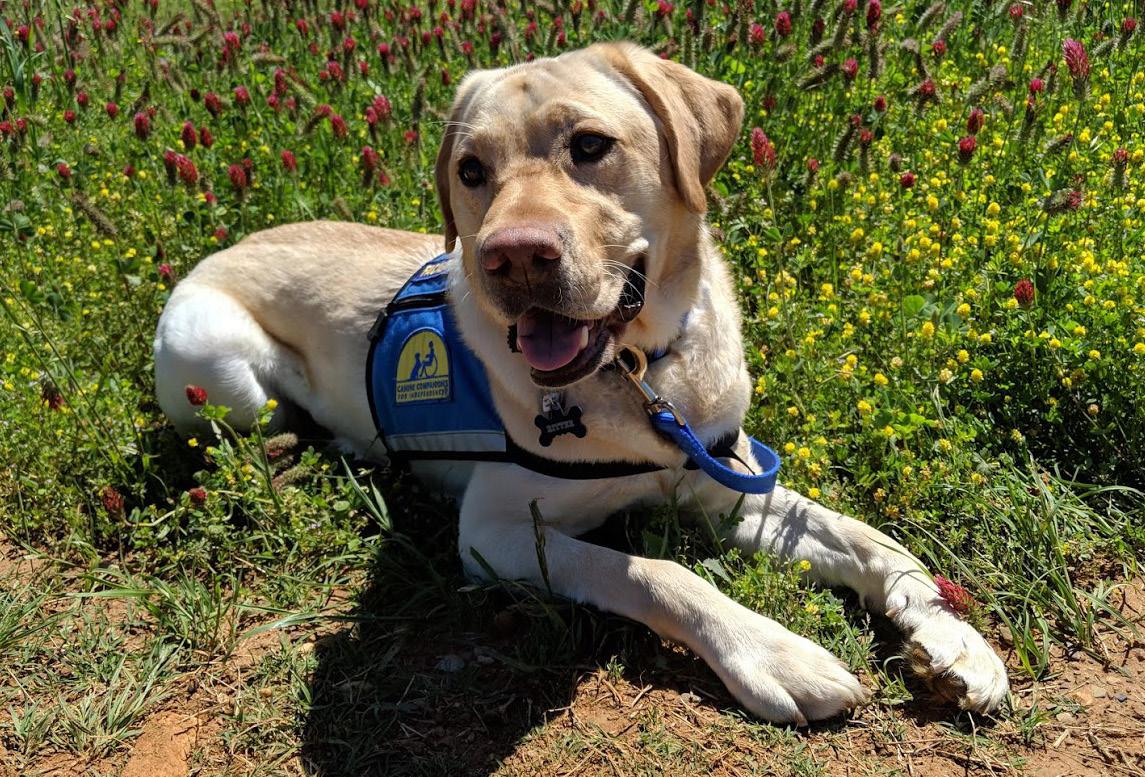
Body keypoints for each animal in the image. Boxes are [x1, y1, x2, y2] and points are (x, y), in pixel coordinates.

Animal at [154, 42, 1009, 724]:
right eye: (471, 171)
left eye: (591, 144)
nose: (511, 256)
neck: (639, 378)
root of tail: (224, 245)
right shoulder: (493, 532)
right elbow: (655, 572)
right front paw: (775, 654)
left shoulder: (720, 477)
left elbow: (870, 539)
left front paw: (953, 637)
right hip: (219, 365)